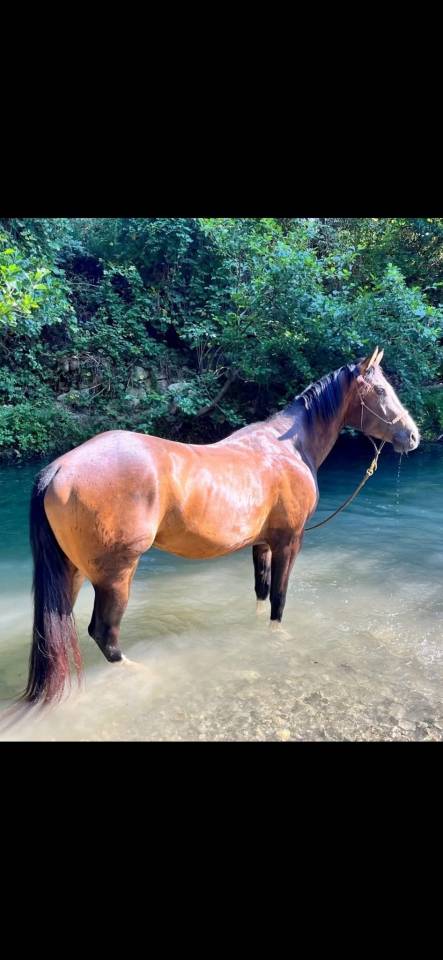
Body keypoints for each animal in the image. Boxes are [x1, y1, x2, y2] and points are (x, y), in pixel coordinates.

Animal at [23, 347, 419, 705]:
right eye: (380, 390)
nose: (413, 435)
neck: (288, 447)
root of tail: (58, 469)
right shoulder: (289, 542)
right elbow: (279, 597)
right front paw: (278, 636)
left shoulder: (262, 543)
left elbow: (261, 591)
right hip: (116, 575)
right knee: (104, 633)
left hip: (72, 572)